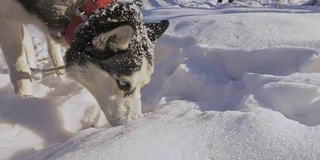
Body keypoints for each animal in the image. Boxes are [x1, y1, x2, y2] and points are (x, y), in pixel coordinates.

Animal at [0, 0, 169, 125]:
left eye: (144, 85)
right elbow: (19, 68)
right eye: (123, 84)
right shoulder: (6, 18)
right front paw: (24, 101)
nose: (133, 123)